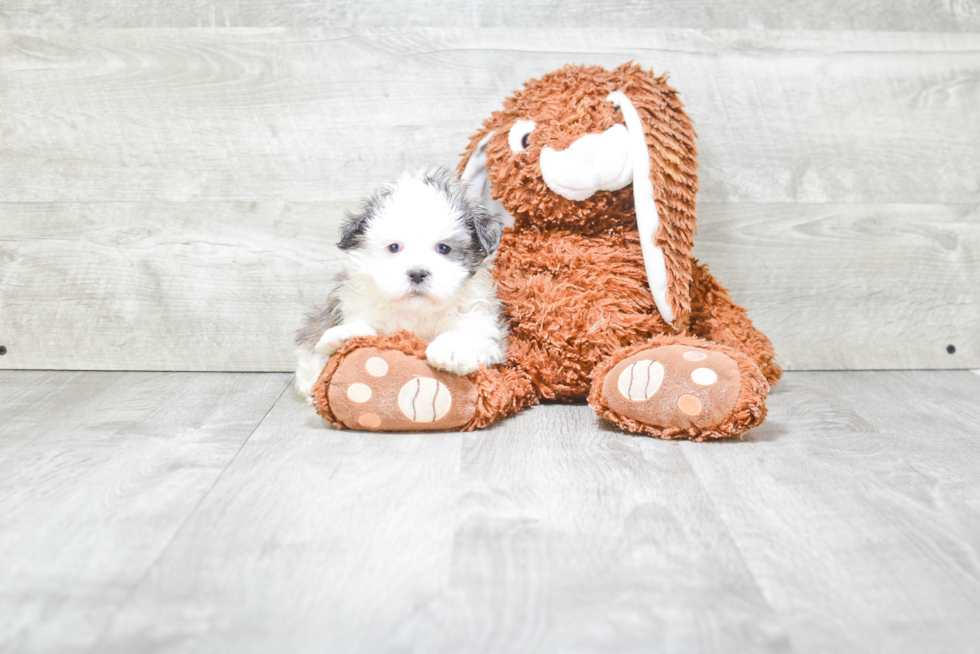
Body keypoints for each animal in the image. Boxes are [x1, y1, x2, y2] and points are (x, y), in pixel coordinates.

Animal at [294, 167, 510, 398]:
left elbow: (472, 334)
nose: (417, 273)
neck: (416, 312)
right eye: (394, 247)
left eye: (444, 248)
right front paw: (347, 336)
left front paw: (452, 347)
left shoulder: (482, 322)